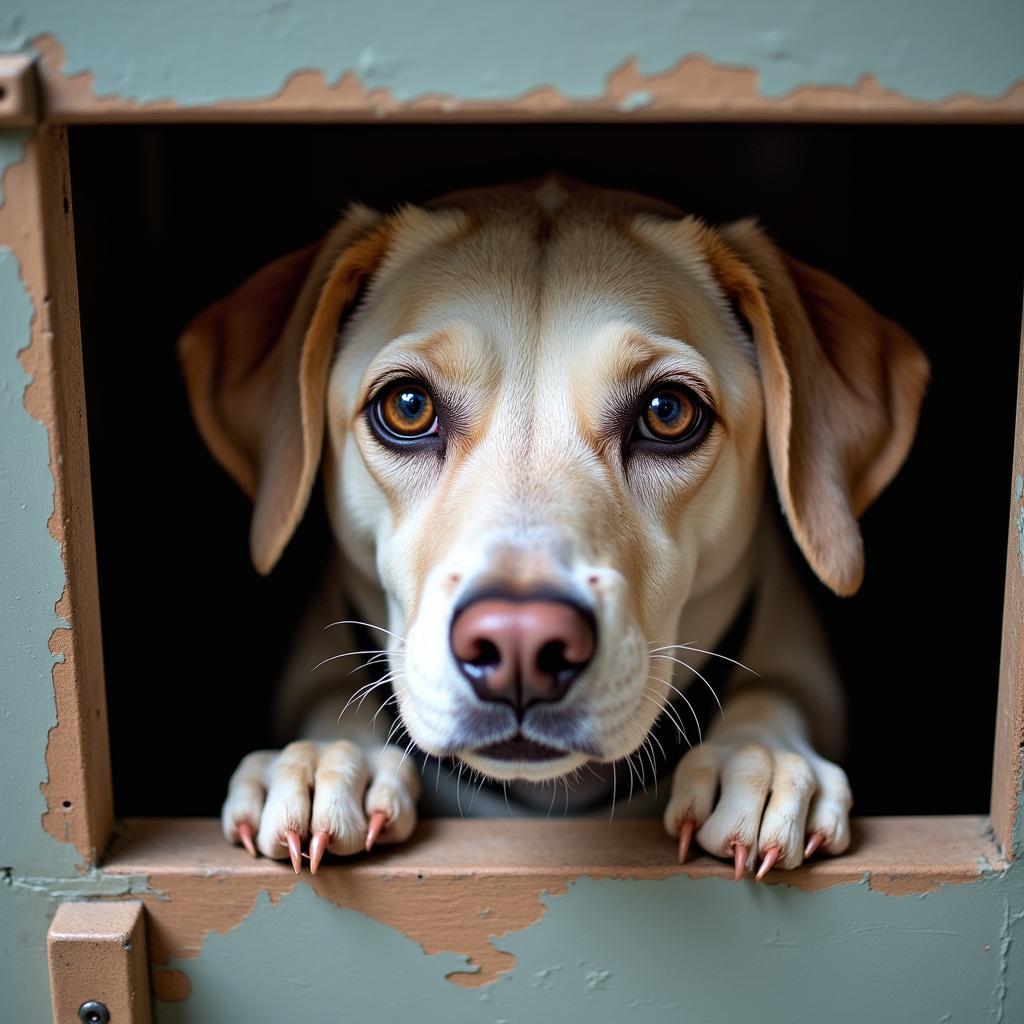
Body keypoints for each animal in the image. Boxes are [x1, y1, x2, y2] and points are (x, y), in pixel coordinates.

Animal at [180, 176, 925, 880]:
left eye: (668, 412)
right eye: (408, 405)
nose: (520, 644)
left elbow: (773, 694)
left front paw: (761, 758)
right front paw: (326, 760)